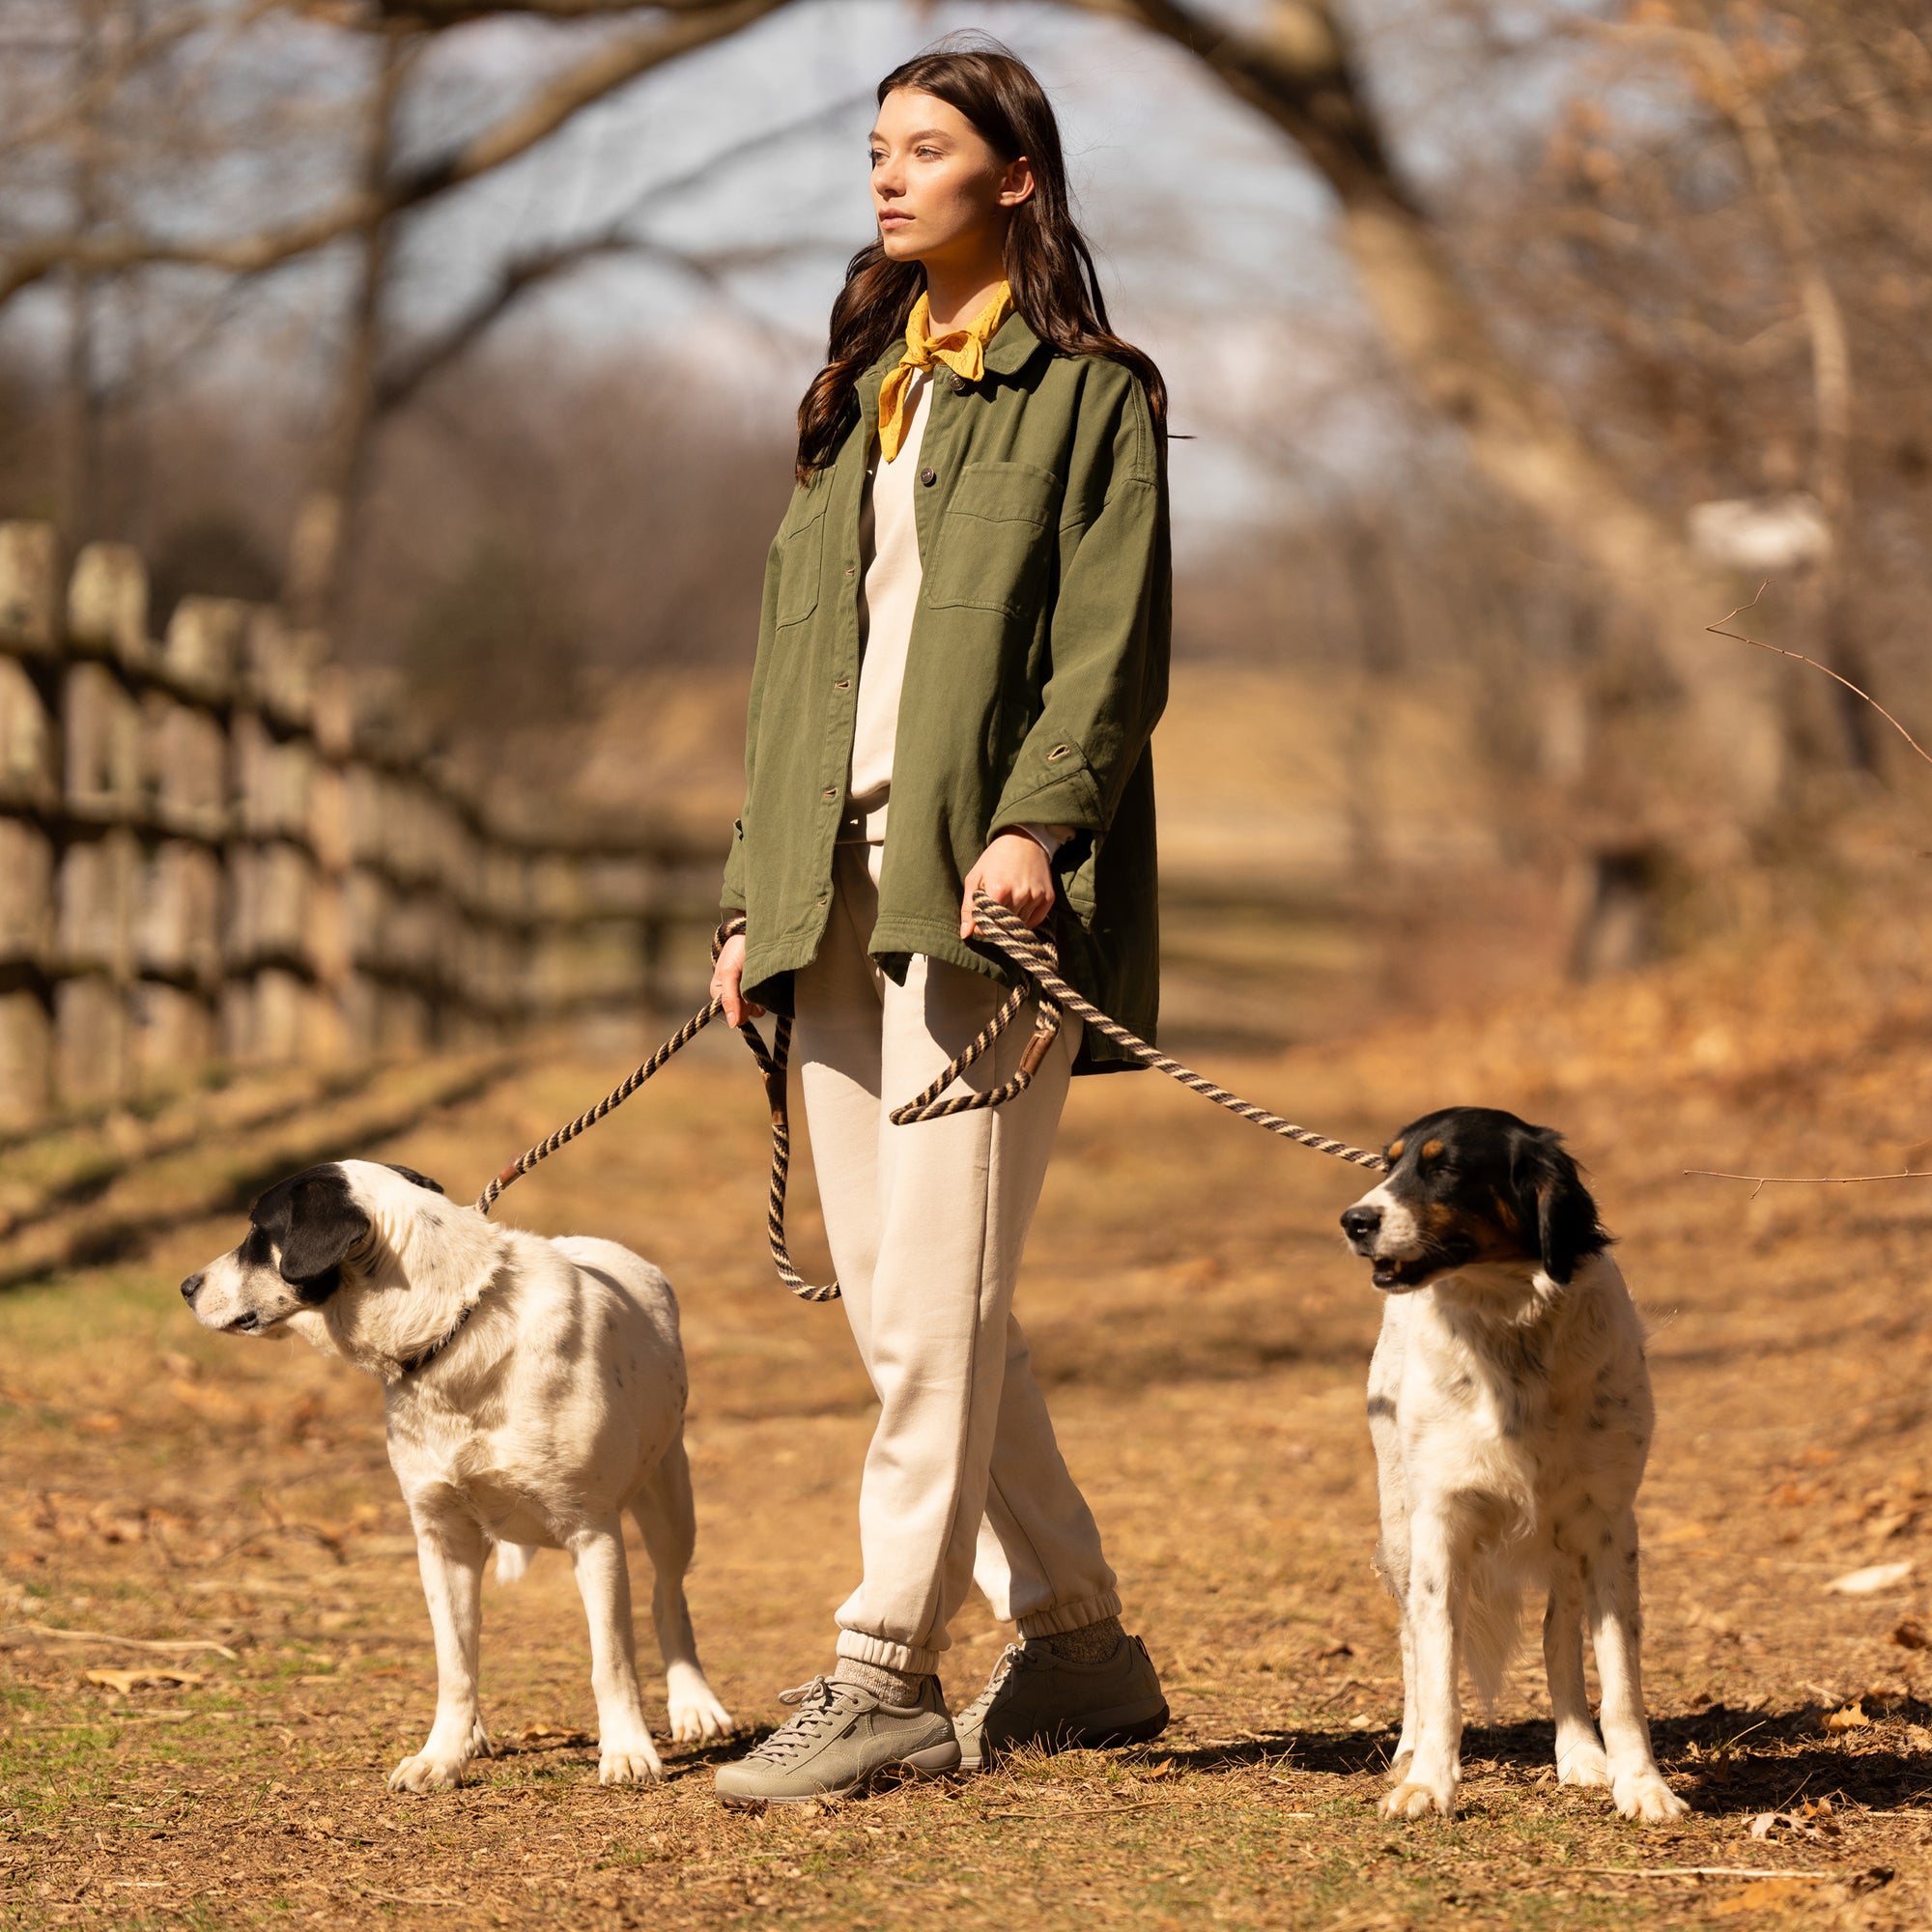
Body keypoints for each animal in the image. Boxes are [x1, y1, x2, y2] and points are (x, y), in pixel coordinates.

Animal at [183, 1151, 730, 1785]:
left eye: (257, 1233)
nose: (185, 1287)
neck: (451, 1330)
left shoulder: (592, 1533)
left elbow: (611, 1659)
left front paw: (626, 1751)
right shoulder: (441, 1539)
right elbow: (455, 1664)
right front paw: (441, 1756)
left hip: (669, 1499)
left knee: (669, 1597)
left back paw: (694, 1705)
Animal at [1337, 1113, 1685, 1816]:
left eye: (1443, 1167)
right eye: (1390, 1164)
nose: (1354, 1220)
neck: (1511, 1328)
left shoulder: (1608, 1525)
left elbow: (1620, 1683)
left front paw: (1641, 1786)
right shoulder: (1440, 1523)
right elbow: (1439, 1669)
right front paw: (1427, 1782)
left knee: (1559, 1635)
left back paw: (1580, 1752)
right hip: (1400, 1525)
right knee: (1413, 1642)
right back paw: (1409, 1750)